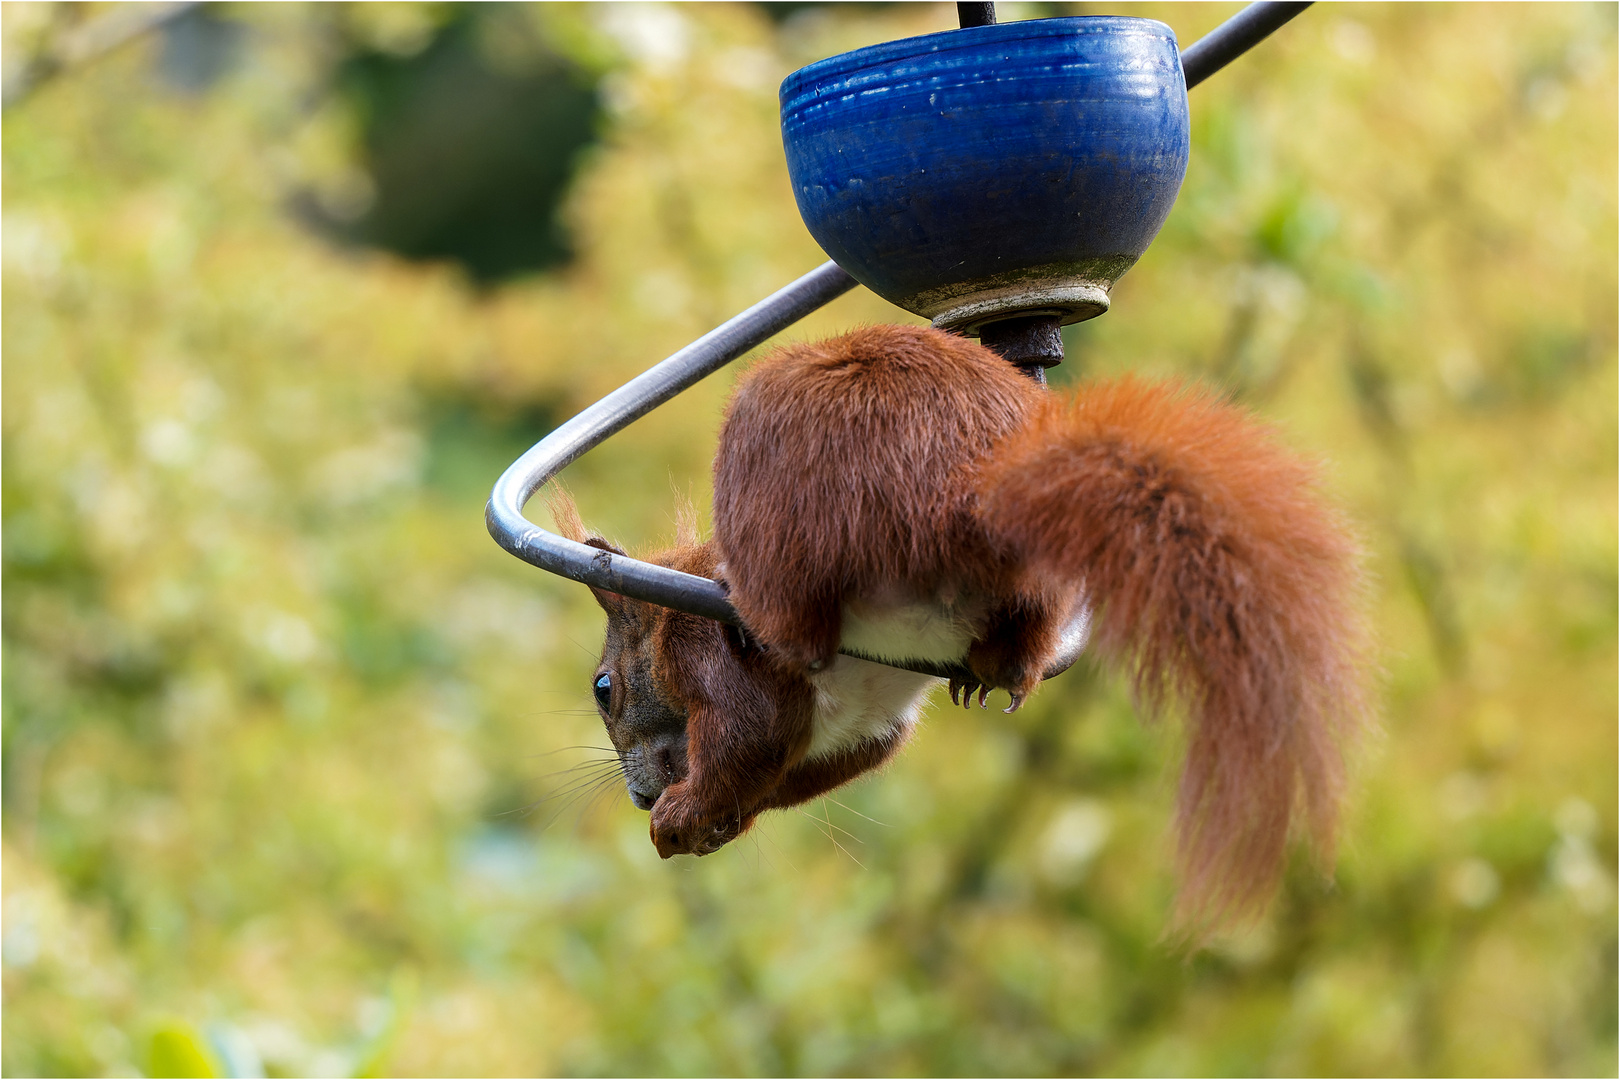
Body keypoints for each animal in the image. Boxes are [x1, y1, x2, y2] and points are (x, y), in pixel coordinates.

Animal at [554, 323, 1367, 932]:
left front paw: (683, 817)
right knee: (1024, 642)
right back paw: (995, 671)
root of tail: (967, 488)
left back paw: (753, 601)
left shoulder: (702, 653)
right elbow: (782, 762)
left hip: (786, 475)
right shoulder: (866, 731)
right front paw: (713, 821)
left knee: (793, 618)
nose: (639, 799)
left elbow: (749, 732)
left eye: (603, 688)